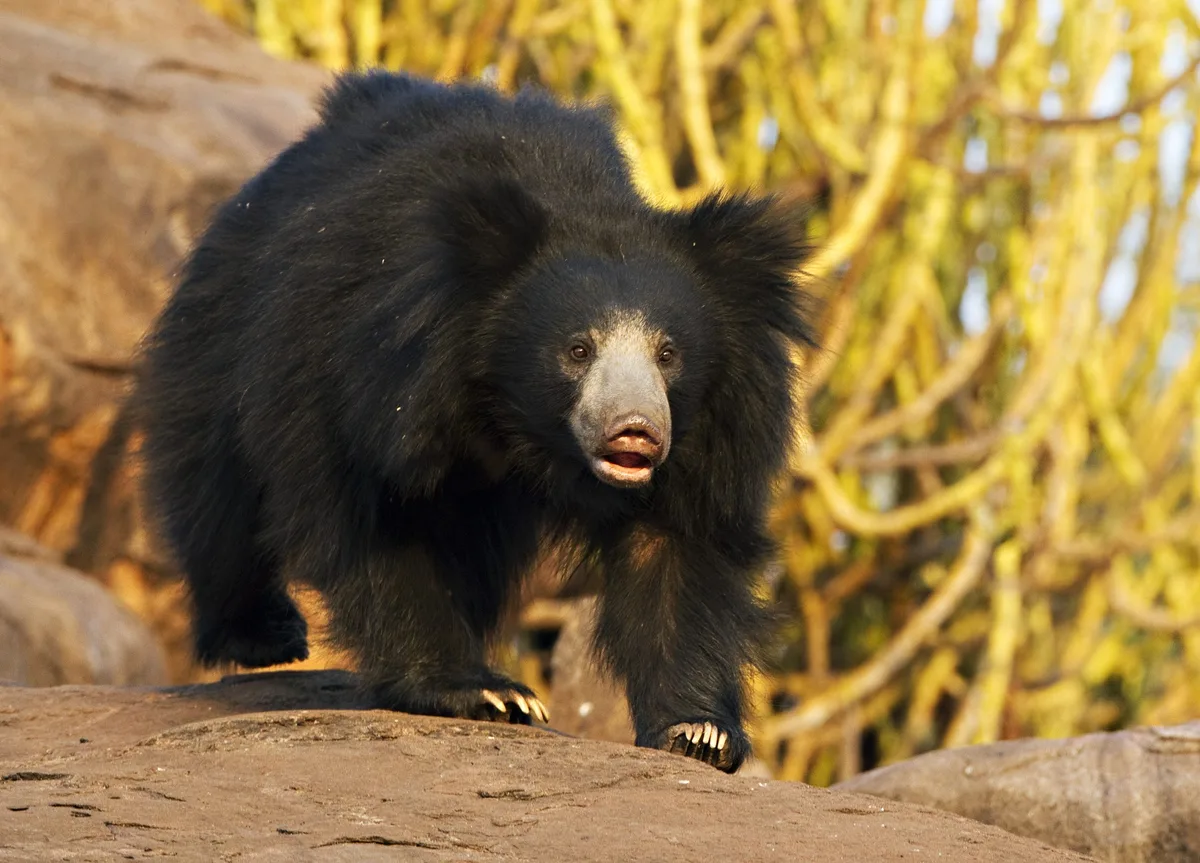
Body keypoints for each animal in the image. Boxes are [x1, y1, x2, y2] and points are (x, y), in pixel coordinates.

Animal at [134, 70, 817, 774]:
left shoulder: (717, 424)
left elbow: (676, 544)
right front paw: (485, 693)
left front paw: (698, 731)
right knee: (217, 490)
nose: (636, 431)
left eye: (668, 353)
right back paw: (261, 634)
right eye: (578, 349)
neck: (518, 419)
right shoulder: (374, 381)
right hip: (224, 328)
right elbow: (379, 516)